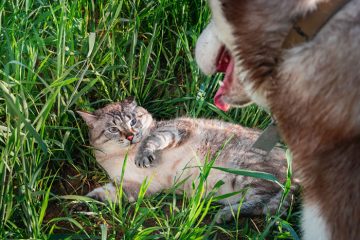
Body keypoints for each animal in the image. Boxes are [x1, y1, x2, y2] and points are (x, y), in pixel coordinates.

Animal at [78, 98, 296, 221]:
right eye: (113, 129)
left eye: (133, 121)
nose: (131, 136)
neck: (126, 155)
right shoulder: (136, 185)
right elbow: (104, 194)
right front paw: (81, 204)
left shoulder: (177, 128)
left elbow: (151, 139)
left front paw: (143, 153)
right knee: (269, 205)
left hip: (246, 170)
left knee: (268, 200)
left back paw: (224, 214)